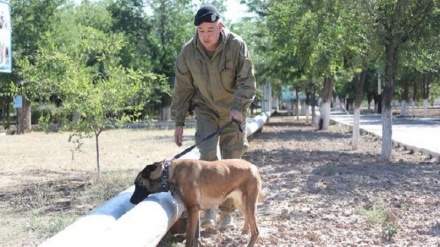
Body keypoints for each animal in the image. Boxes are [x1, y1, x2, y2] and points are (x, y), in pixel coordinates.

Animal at [129, 159, 262, 246]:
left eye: (138, 184)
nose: (131, 201)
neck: (167, 173)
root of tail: (253, 166)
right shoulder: (195, 211)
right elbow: (195, 237)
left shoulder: (192, 210)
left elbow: (189, 238)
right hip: (240, 203)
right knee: (248, 220)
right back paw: (244, 231)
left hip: (248, 204)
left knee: (256, 231)